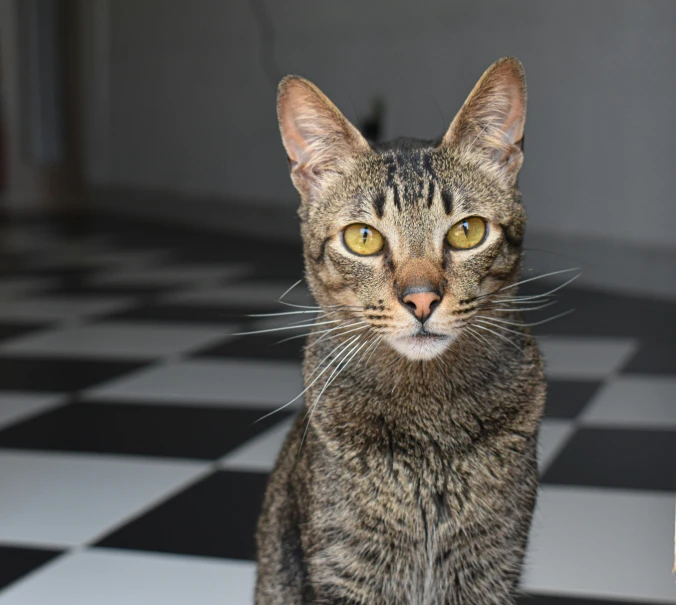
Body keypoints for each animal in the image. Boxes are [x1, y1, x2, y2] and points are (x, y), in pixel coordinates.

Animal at [256, 57, 548, 604]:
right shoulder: (347, 568)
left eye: (467, 231)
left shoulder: (492, 564)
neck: (430, 425)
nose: (421, 299)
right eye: (363, 238)